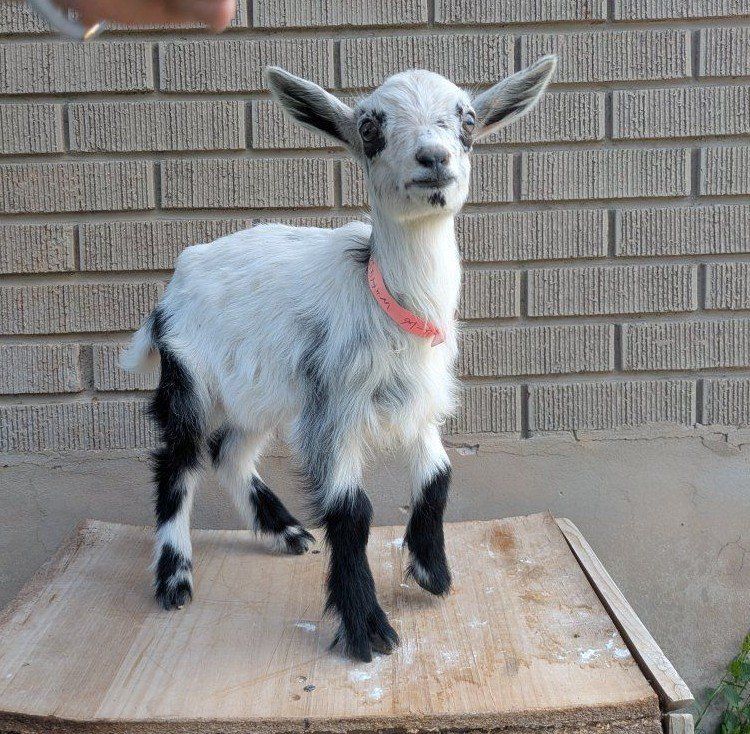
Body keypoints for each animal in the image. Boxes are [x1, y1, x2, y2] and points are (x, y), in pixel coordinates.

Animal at [122, 56, 557, 662]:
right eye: (370, 128)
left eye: (467, 121)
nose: (434, 158)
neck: (388, 300)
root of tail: (172, 286)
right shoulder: (336, 404)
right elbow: (352, 510)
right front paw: (368, 628)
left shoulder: (415, 399)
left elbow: (439, 473)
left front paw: (432, 570)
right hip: (190, 377)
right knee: (177, 461)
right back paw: (174, 578)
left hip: (263, 389)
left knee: (230, 451)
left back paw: (287, 533)